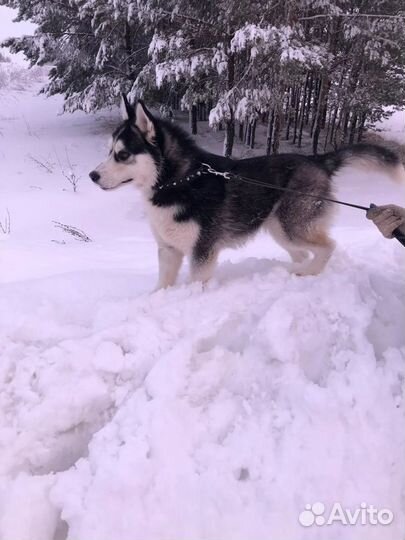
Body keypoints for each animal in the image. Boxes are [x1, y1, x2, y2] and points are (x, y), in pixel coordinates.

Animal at [89, 98, 404, 288]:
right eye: (109, 151)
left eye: (123, 154)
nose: (92, 176)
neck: (179, 181)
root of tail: (316, 159)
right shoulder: (168, 249)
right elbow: (161, 285)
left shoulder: (202, 251)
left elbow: (196, 282)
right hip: (280, 230)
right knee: (304, 252)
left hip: (292, 226)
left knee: (328, 246)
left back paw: (307, 273)